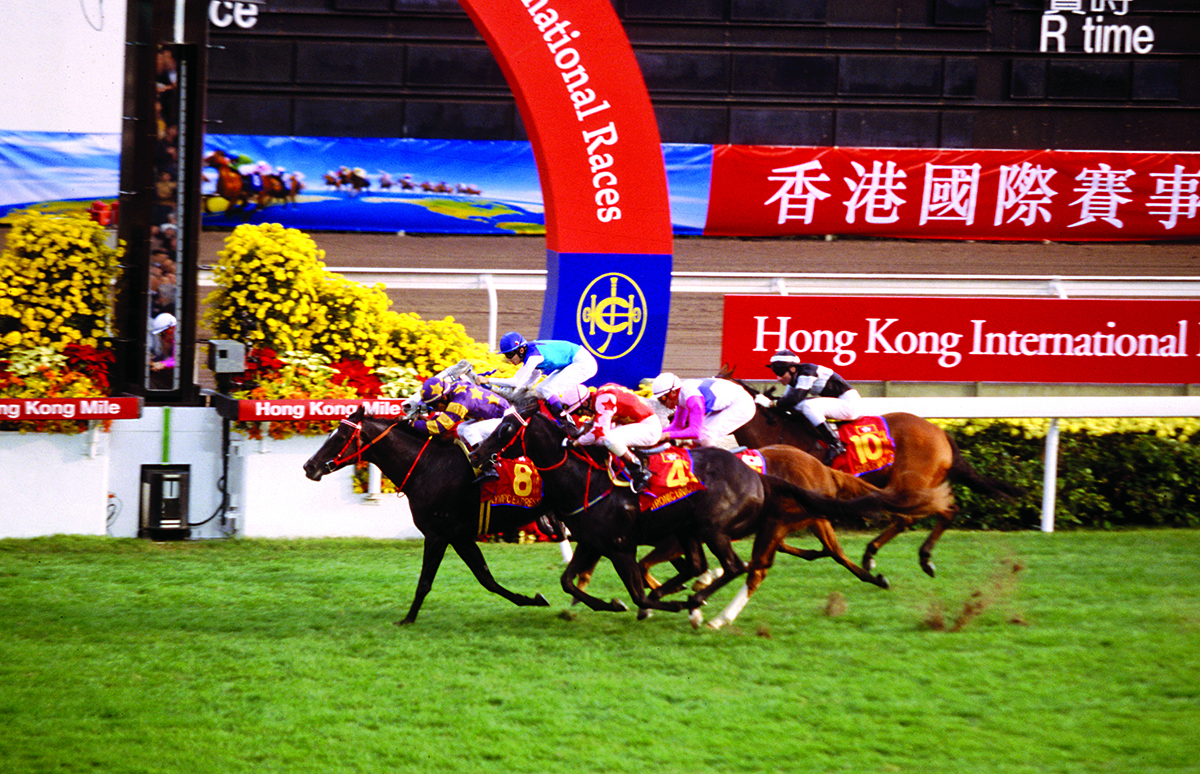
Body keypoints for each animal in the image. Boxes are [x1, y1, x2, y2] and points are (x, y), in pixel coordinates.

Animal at [302, 406, 558, 625]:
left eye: (339, 437)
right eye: (331, 434)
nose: (309, 466)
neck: (427, 466)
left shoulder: (437, 534)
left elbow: (425, 581)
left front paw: (408, 619)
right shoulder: (460, 537)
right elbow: (486, 579)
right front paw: (532, 599)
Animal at [467, 401, 901, 619]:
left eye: (505, 429)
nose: (476, 452)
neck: (584, 480)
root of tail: (756, 475)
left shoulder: (621, 547)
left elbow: (637, 593)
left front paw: (651, 603)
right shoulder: (593, 544)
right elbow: (569, 582)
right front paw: (608, 603)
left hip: (713, 527)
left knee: (737, 567)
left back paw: (695, 602)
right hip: (692, 531)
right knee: (703, 566)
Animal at [718, 368, 1025, 578]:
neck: (778, 433)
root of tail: (940, 433)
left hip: (910, 483)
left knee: (932, 512)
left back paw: (917, 557)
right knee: (915, 516)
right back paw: (880, 554)